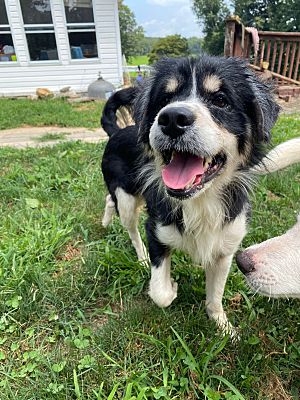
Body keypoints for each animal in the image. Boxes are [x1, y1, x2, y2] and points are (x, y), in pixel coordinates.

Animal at [101, 54, 300, 332]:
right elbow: (160, 294)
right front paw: (172, 286)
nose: (172, 118)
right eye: (164, 99)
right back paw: (139, 256)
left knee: (109, 199)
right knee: (129, 226)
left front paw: (224, 328)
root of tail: (118, 131)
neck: (200, 201)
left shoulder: (227, 247)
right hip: (128, 199)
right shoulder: (156, 230)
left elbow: (215, 296)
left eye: (221, 100)